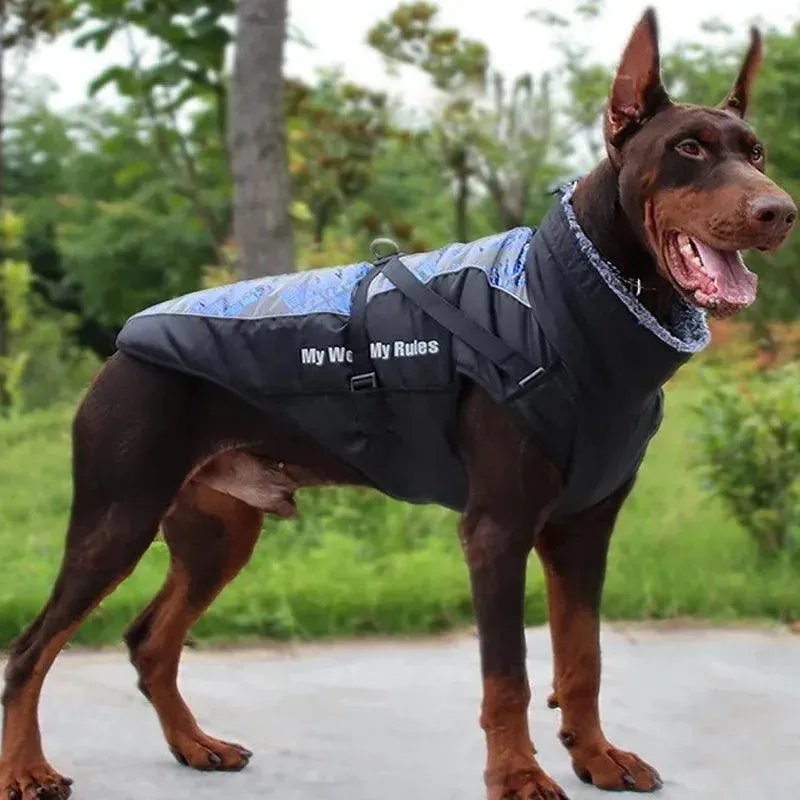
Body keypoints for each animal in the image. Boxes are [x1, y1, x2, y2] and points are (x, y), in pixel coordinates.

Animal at [0, 7, 792, 800]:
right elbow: (509, 675)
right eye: (688, 148)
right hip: (118, 515)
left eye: (756, 152)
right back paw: (29, 770)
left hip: (217, 531)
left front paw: (596, 755)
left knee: (147, 640)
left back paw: (194, 744)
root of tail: (121, 347)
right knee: (29, 651)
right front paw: (518, 775)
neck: (563, 300)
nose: (780, 210)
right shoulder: (496, 530)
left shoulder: (585, 526)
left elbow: (583, 657)